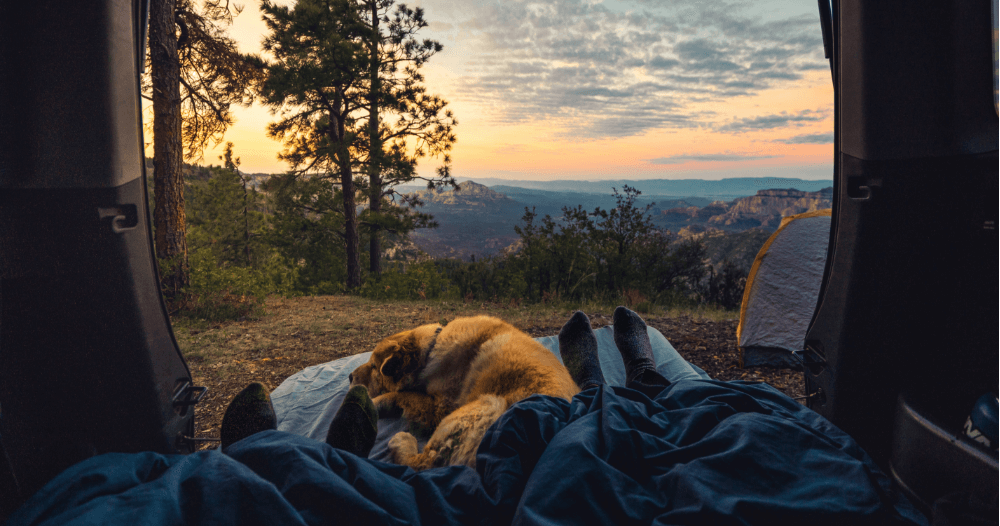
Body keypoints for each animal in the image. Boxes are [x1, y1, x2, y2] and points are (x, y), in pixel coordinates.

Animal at [350, 316, 580, 472]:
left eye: (373, 366)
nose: (350, 377)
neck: (431, 348)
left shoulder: (439, 408)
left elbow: (401, 395)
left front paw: (372, 401)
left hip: (485, 405)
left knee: (424, 464)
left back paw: (402, 442)